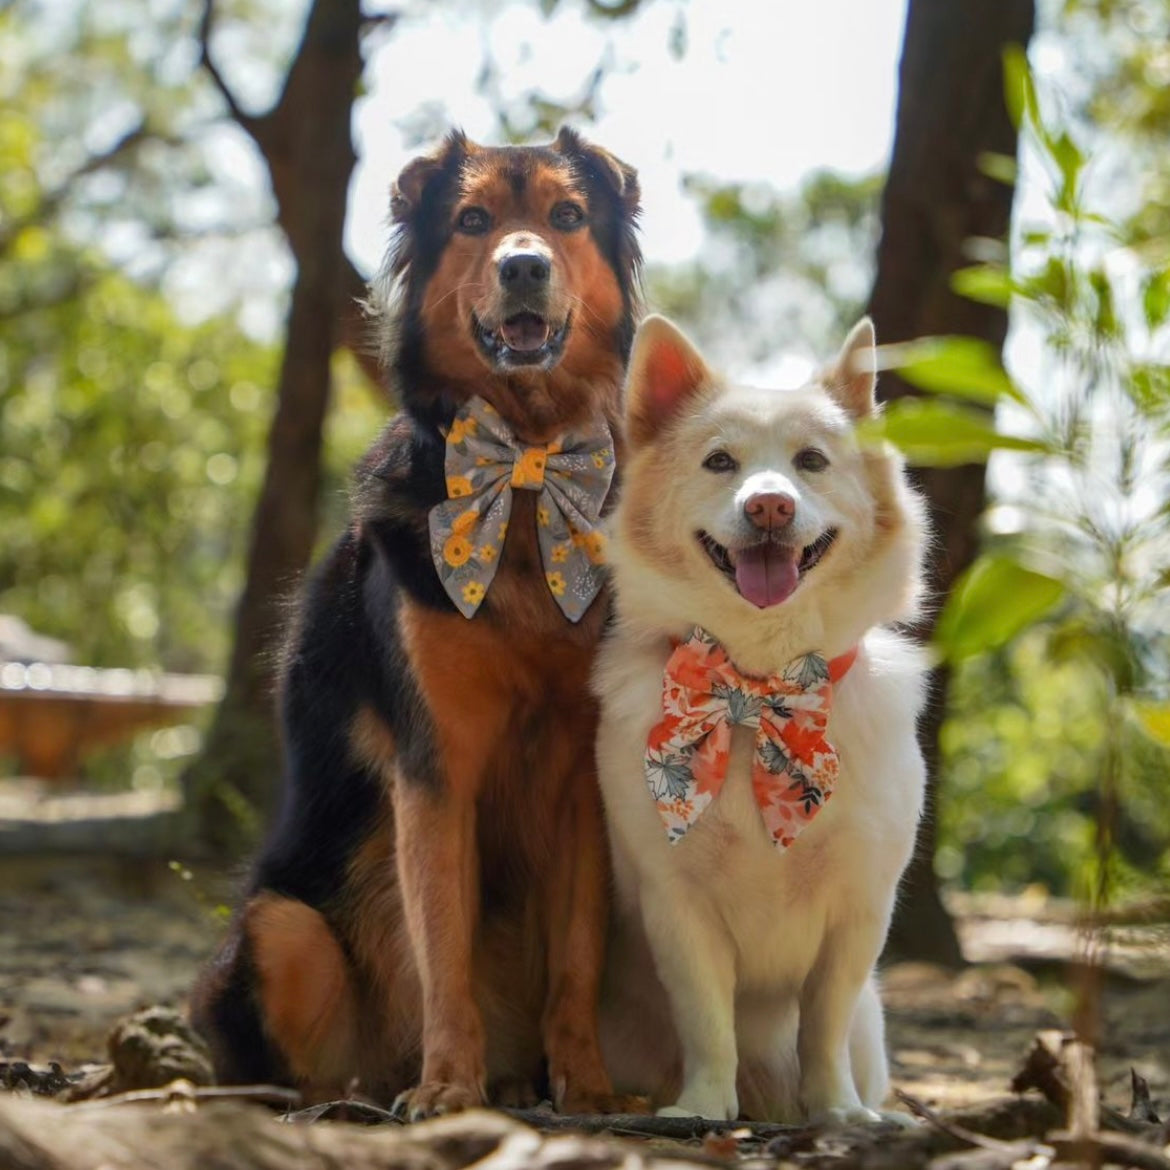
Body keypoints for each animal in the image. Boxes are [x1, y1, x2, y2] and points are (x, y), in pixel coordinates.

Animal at [195, 125, 645, 1113]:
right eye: (473, 221)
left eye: (567, 215)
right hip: (282, 928)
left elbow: (580, 955)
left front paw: (588, 1086)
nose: (524, 266)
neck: (524, 462)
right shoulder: (435, 766)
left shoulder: (580, 776)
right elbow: (443, 944)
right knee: (306, 1055)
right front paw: (448, 1088)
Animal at [599, 315, 926, 1118]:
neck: (758, 686)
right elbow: (706, 1020)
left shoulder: (858, 912)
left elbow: (824, 1024)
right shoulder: (677, 905)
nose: (769, 506)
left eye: (812, 462)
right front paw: (703, 1107)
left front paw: (838, 1110)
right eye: (720, 462)